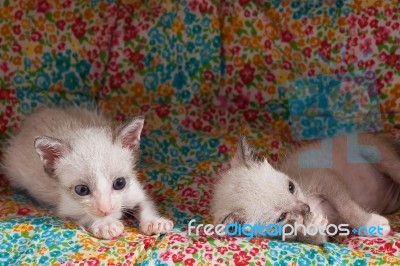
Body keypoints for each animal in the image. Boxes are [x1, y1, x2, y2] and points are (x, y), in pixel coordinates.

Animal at [1, 107, 173, 239]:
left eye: (120, 183)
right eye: (82, 190)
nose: (105, 210)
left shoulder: (134, 190)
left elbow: (145, 204)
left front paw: (154, 221)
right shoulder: (66, 207)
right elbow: (85, 215)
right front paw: (106, 224)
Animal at [211, 134, 396, 244]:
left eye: (291, 187)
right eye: (282, 217)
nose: (306, 209)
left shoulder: (325, 179)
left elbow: (347, 209)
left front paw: (372, 225)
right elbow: (315, 239)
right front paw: (312, 227)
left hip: (380, 157)